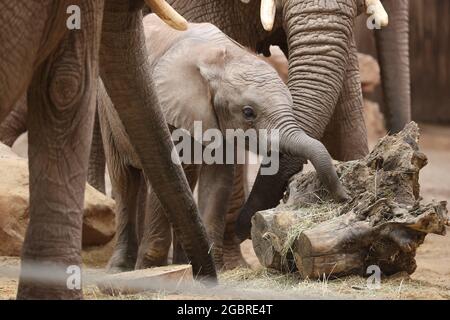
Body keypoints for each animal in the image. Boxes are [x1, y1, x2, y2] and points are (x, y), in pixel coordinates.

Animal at [98, 14, 348, 272]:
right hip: (106, 110)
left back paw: (182, 262)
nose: (345, 196)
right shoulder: (169, 109)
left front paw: (211, 269)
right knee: (124, 179)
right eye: (248, 113)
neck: (223, 60)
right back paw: (121, 268)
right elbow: (165, 172)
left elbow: (219, 180)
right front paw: (149, 268)